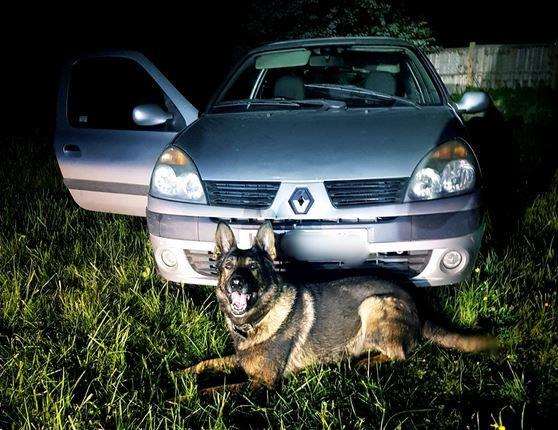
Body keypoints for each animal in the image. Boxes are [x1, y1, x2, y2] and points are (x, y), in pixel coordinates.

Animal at [185, 222, 498, 390]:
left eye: (252, 267)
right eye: (228, 266)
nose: (237, 283)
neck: (255, 321)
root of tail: (417, 305)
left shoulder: (262, 382)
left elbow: (216, 390)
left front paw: (181, 394)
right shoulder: (240, 361)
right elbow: (206, 363)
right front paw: (182, 374)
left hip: (373, 303)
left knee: (401, 353)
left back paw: (359, 363)